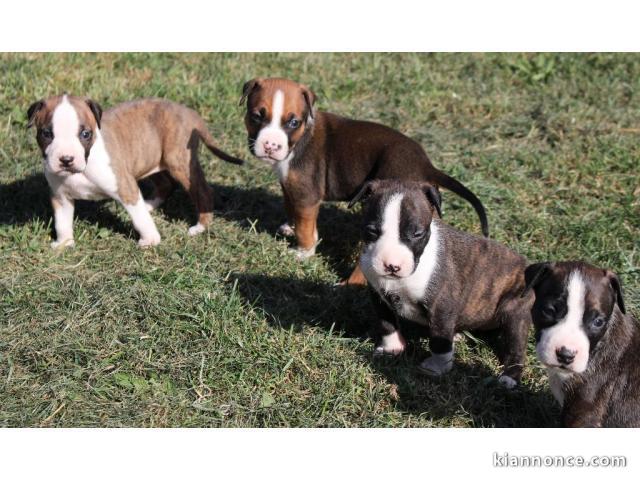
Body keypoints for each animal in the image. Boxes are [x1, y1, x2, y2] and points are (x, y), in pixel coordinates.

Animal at [27, 94, 244, 248]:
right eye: (47, 134)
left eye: (85, 134)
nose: (66, 160)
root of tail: (190, 112)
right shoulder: (61, 197)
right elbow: (62, 222)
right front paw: (64, 243)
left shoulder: (125, 187)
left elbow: (139, 219)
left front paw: (150, 240)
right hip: (153, 160)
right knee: (165, 185)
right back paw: (149, 204)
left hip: (179, 163)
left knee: (203, 191)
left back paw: (200, 227)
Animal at [240, 77, 490, 284]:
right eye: (257, 116)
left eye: (293, 122)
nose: (271, 146)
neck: (301, 137)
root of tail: (426, 164)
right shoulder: (291, 187)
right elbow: (292, 209)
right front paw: (289, 228)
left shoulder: (307, 196)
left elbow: (306, 226)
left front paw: (304, 252)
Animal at [352, 178, 532, 388]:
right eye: (371, 231)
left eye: (417, 234)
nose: (392, 266)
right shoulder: (378, 295)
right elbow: (386, 323)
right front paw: (392, 348)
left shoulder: (441, 305)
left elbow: (439, 341)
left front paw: (437, 367)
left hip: (515, 312)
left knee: (516, 347)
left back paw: (509, 377)